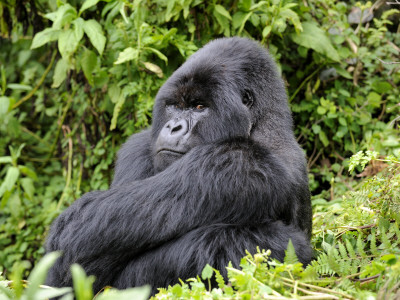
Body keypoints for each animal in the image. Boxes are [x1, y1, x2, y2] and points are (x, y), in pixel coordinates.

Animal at [46, 37, 312, 292]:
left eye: (199, 106)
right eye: (175, 106)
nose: (174, 127)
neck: (264, 128)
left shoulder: (236, 161)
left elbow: (79, 234)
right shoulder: (139, 146)